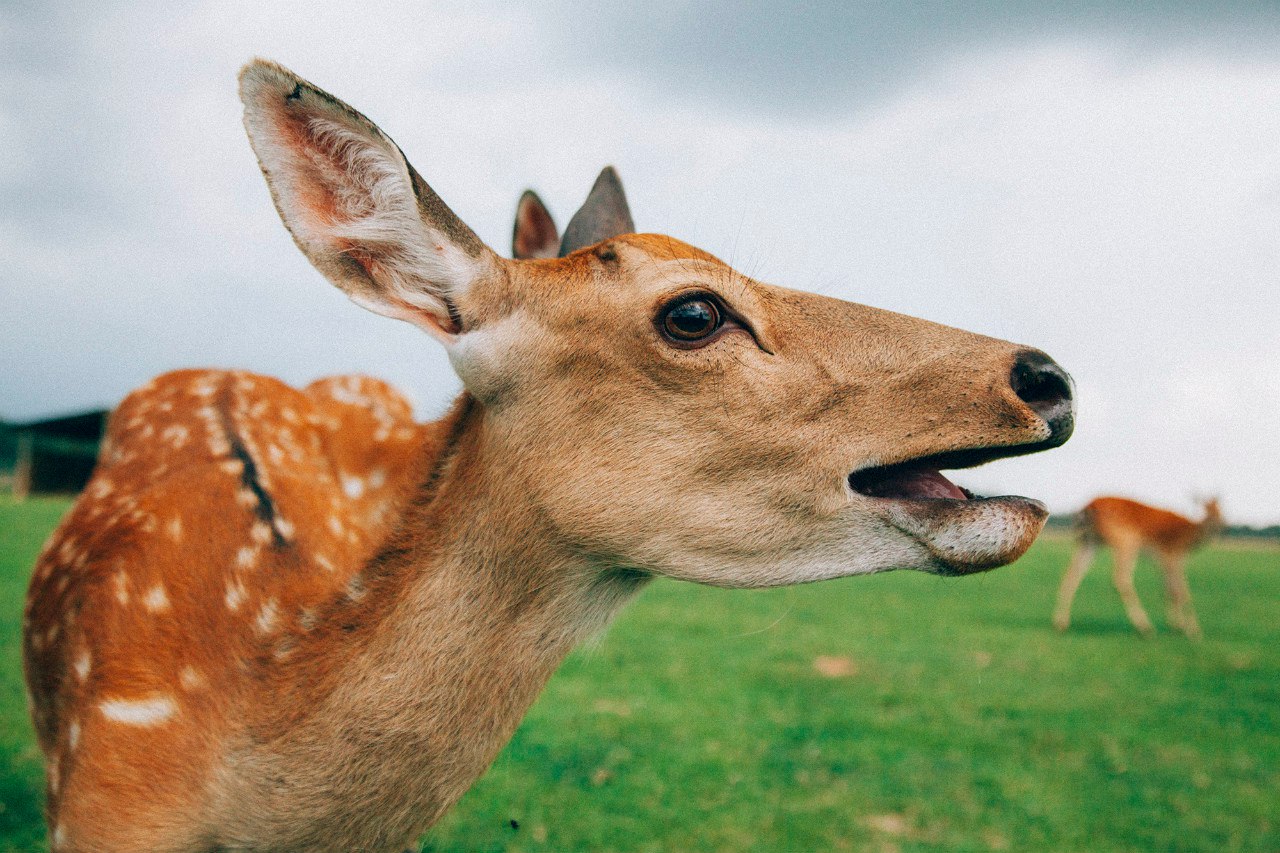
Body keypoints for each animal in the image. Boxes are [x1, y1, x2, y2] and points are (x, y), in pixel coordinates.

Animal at [1054, 491, 1223, 637]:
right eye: (1206, 509)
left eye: (1219, 509)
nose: (1220, 522)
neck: (1190, 536)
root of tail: (1086, 509)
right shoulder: (1172, 555)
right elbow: (1181, 591)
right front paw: (1193, 631)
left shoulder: (1162, 560)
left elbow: (1168, 590)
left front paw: (1177, 625)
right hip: (1126, 540)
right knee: (1120, 579)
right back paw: (1145, 627)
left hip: (1089, 541)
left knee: (1071, 574)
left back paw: (1061, 623)